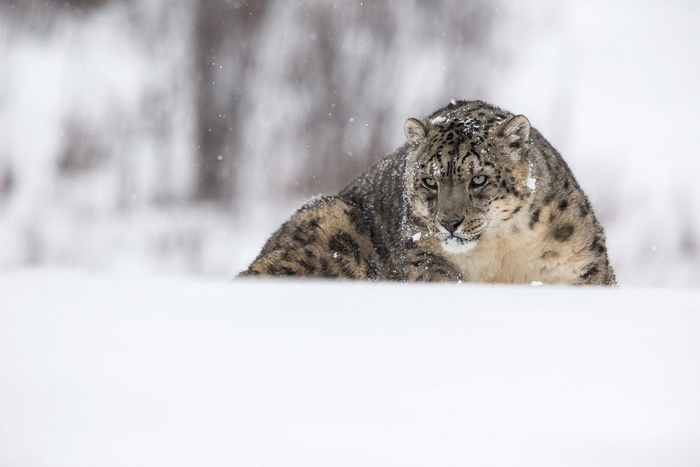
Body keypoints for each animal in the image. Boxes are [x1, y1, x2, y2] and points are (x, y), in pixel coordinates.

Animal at [241, 100, 616, 285]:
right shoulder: (422, 253)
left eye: (478, 179)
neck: (500, 254)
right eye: (430, 181)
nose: (449, 222)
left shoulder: (582, 266)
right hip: (332, 217)